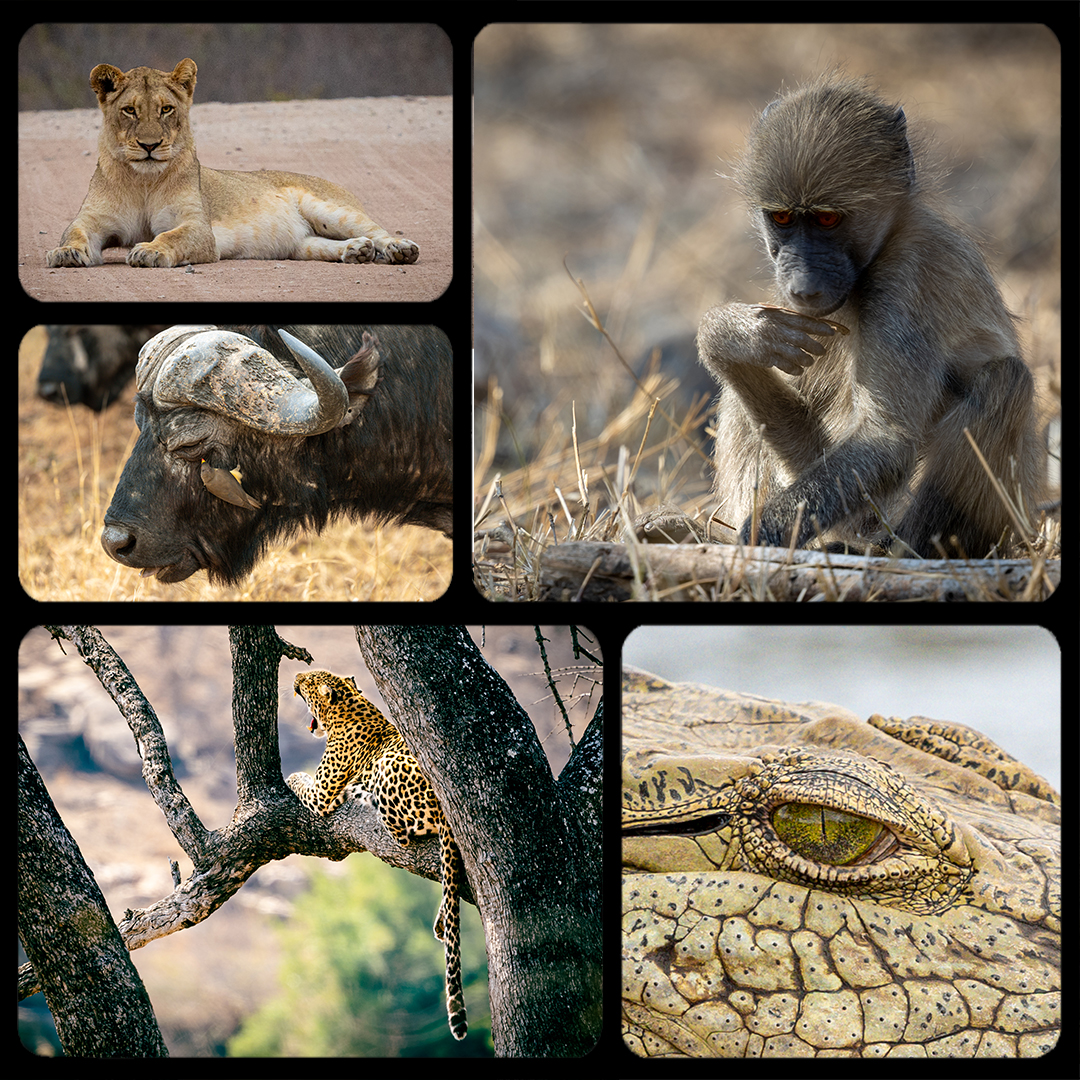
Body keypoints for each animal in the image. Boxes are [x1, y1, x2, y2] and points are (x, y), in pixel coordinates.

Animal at [45, 59, 420, 269]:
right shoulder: (92, 220)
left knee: (377, 230)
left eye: (166, 109)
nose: (150, 146)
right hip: (301, 245)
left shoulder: (198, 227)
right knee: (326, 244)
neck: (143, 181)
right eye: (129, 110)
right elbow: (74, 233)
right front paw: (65, 254)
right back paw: (357, 251)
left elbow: (171, 236)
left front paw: (148, 252)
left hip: (331, 209)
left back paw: (398, 249)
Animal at [696, 75, 1042, 558]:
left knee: (1006, 379)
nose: (802, 286)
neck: (885, 242)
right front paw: (733, 334)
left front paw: (760, 532)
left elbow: (885, 440)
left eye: (827, 219)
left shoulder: (905, 284)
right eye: (782, 217)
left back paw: (900, 554)